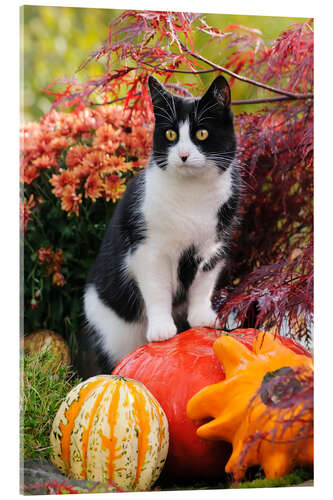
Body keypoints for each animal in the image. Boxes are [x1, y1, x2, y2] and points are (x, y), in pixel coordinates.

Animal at [82, 74, 239, 372]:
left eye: (202, 134)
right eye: (171, 135)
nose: (184, 155)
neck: (192, 194)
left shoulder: (215, 244)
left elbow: (203, 282)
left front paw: (201, 316)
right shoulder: (148, 250)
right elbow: (157, 289)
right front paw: (162, 330)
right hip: (112, 330)